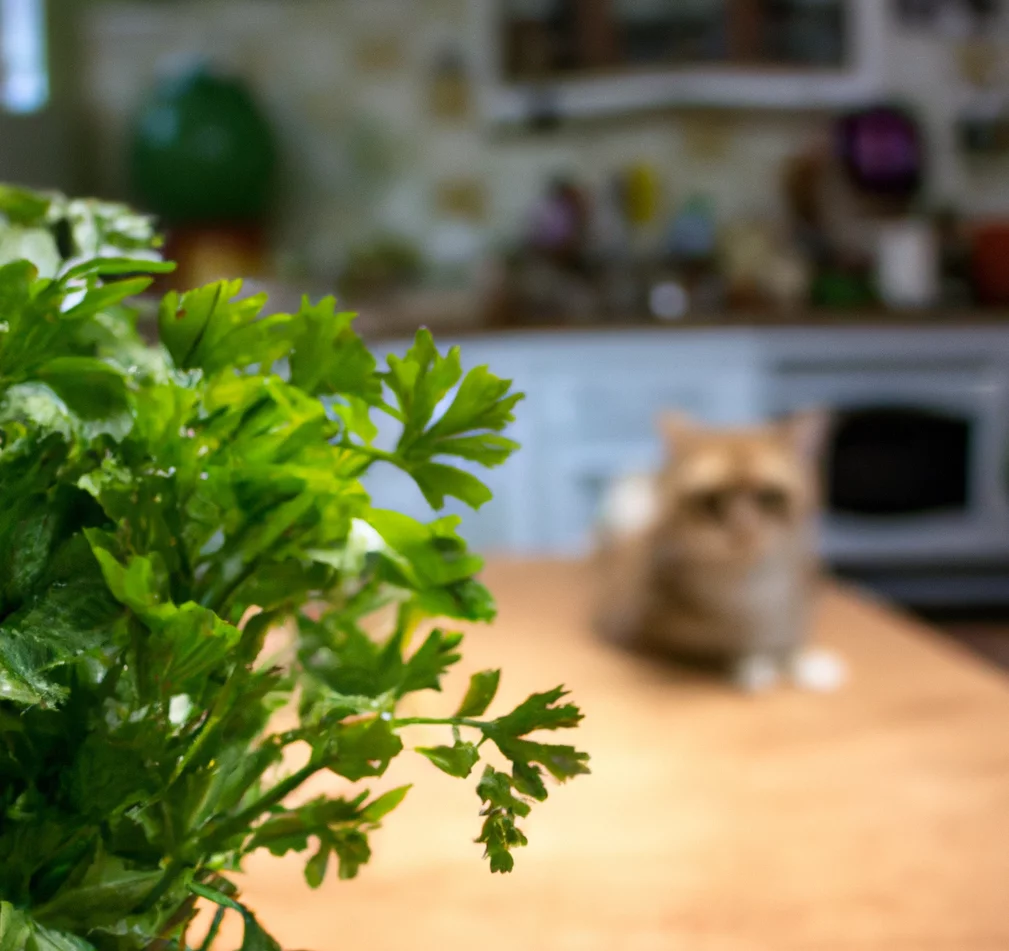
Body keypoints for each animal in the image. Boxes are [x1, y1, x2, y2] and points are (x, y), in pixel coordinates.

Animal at [593, 409, 839, 689]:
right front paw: (754, 664)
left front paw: (805, 662)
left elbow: (791, 638)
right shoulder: (638, 628)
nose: (743, 529)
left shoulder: (796, 602)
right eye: (711, 500)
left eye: (768, 496)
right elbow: (724, 648)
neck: (749, 582)